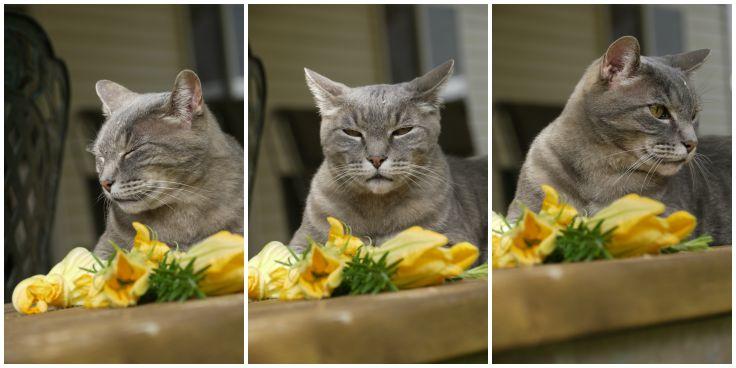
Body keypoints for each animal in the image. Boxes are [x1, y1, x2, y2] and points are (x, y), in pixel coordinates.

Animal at [288, 60, 488, 262]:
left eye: (403, 131)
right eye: (352, 132)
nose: (376, 158)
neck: (376, 209)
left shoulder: (456, 240)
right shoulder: (301, 240)